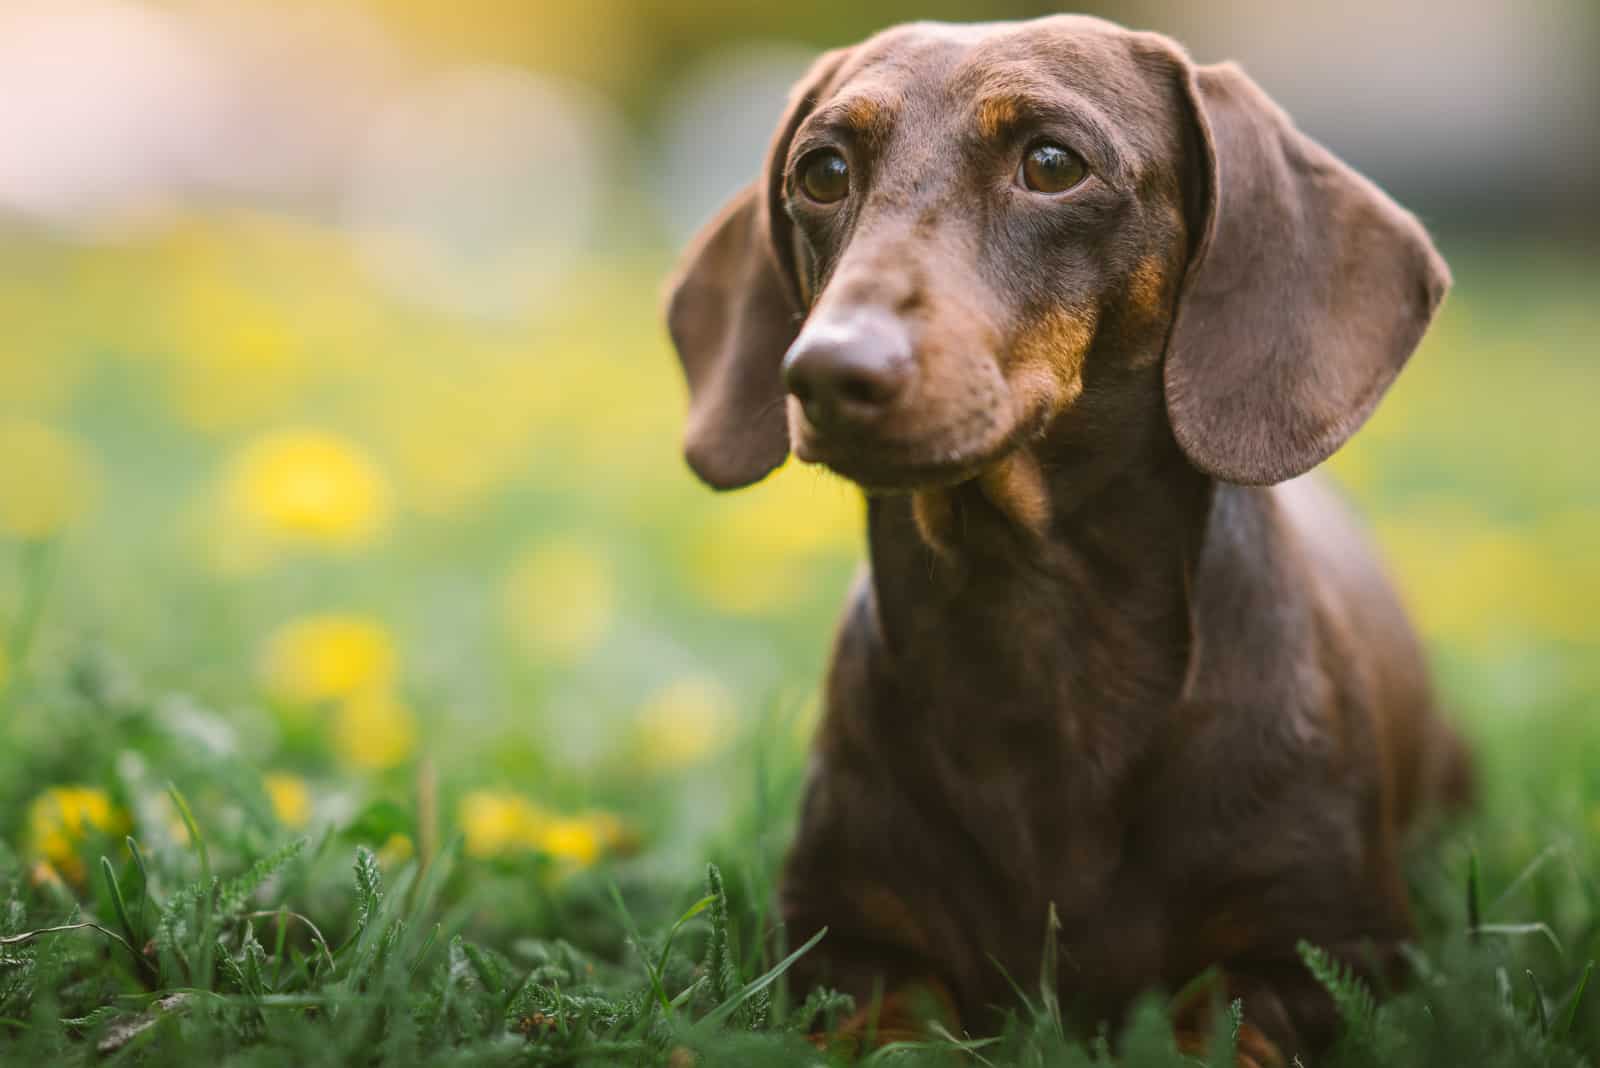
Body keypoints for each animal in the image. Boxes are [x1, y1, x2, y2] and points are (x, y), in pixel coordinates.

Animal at [662, 16, 1472, 1068]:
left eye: (1052, 163)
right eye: (823, 171)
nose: (829, 372)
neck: (1031, 636)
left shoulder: (1325, 954)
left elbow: (1213, 1025)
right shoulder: (844, 945)